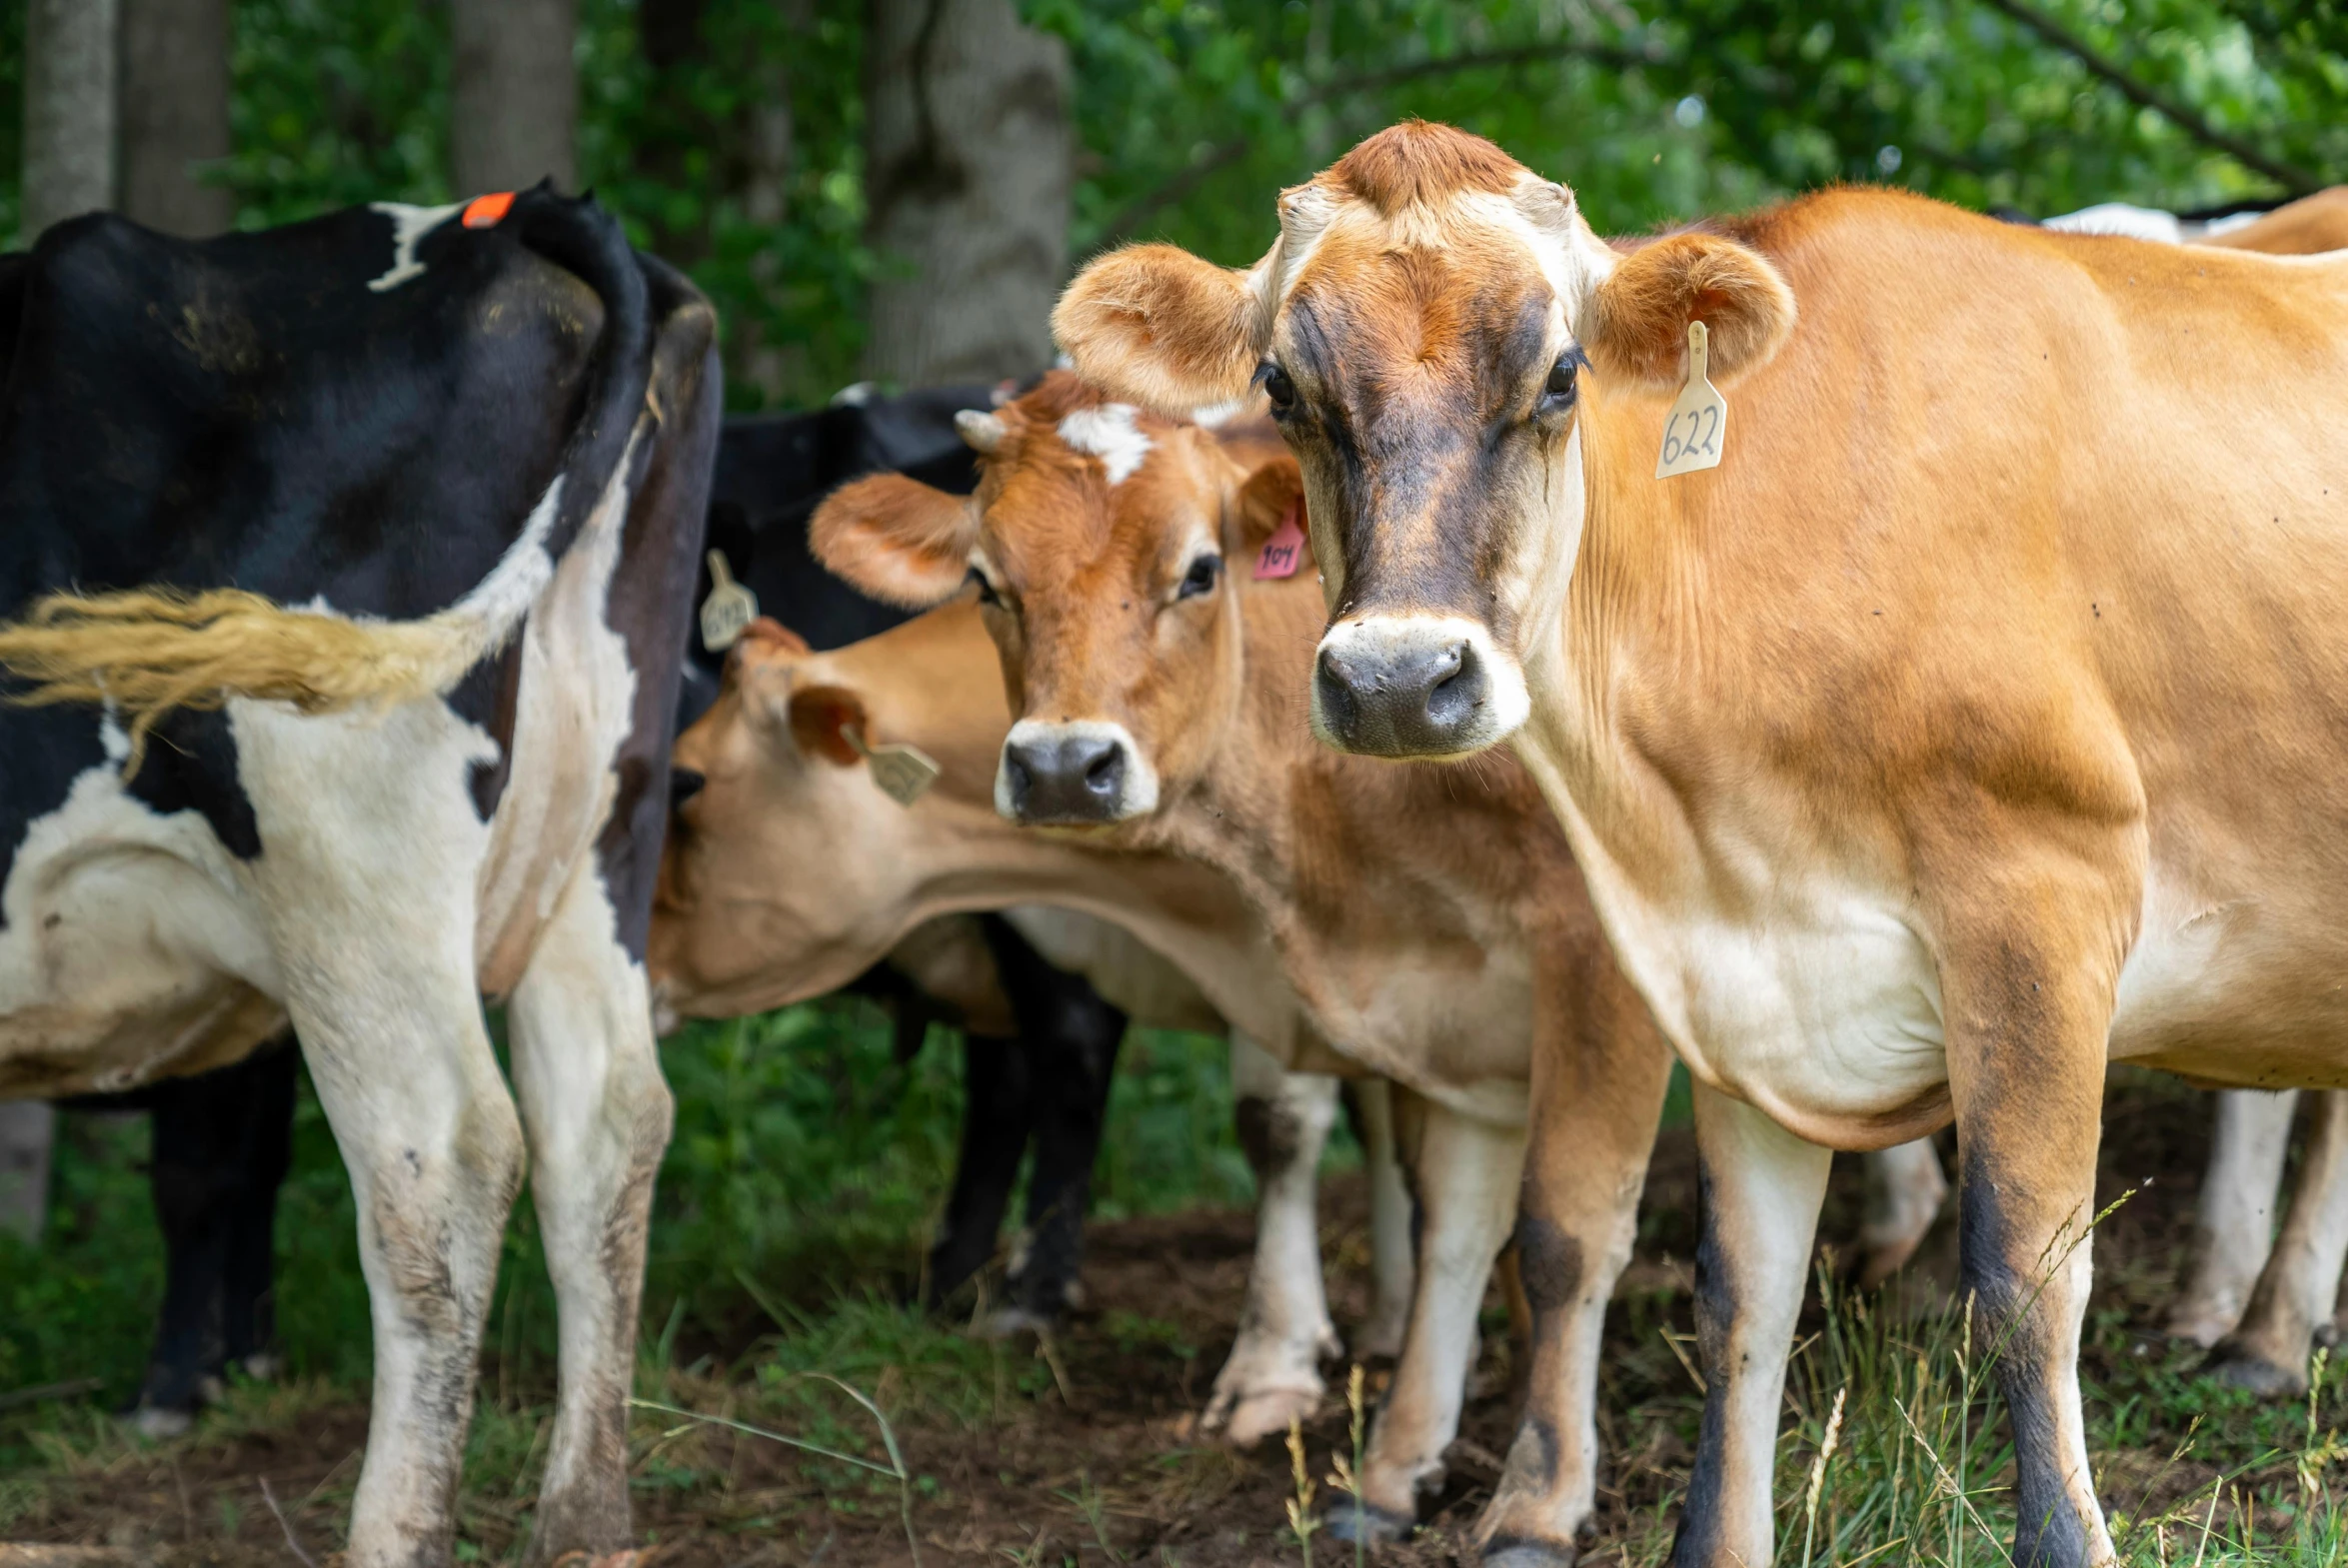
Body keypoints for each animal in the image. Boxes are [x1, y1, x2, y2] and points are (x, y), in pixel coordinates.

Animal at [0, 192, 723, 1568]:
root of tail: (518, 218)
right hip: (606, 819)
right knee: (607, 1121)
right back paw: (585, 1523)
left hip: (344, 845)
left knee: (441, 1164)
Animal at [808, 371, 1671, 1558]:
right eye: (985, 580)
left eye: (1199, 569)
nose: (1062, 767)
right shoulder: (1448, 992)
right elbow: (1446, 1221)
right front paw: (1393, 1469)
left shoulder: (1599, 960)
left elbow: (1565, 1229)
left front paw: (1536, 1502)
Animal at [1057, 122, 2348, 1568]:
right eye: (1282, 383)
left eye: (1561, 373)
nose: (1397, 681)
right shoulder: (1733, 963)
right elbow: (1741, 1295)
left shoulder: (2043, 907)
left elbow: (2025, 1269)